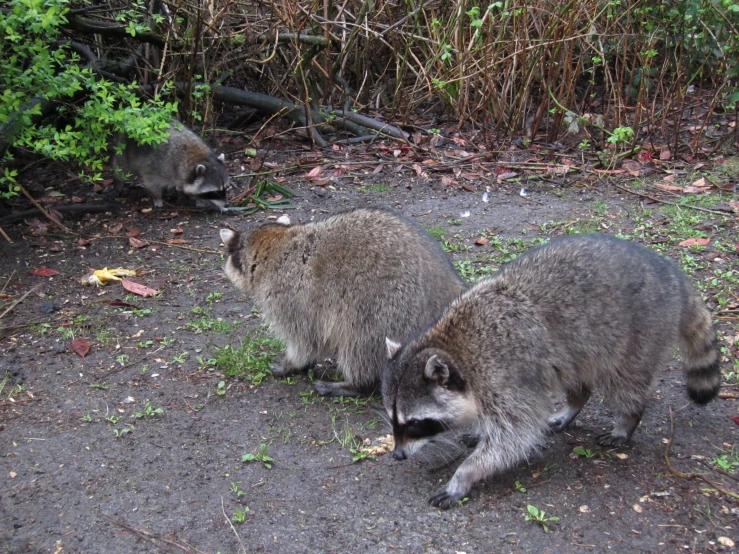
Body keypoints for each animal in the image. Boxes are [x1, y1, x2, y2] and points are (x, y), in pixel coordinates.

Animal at [218, 208, 468, 396]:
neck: (274, 245)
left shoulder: (289, 295)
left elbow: (305, 338)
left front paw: (293, 363)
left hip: (385, 311)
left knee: (359, 346)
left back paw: (355, 384)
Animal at [384, 231, 720, 506]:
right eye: (393, 420)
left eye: (416, 424)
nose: (397, 455)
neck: (453, 348)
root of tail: (672, 276)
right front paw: (479, 431)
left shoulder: (503, 377)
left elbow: (516, 434)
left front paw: (465, 474)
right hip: (577, 350)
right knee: (577, 378)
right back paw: (574, 404)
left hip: (640, 333)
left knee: (624, 383)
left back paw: (627, 419)